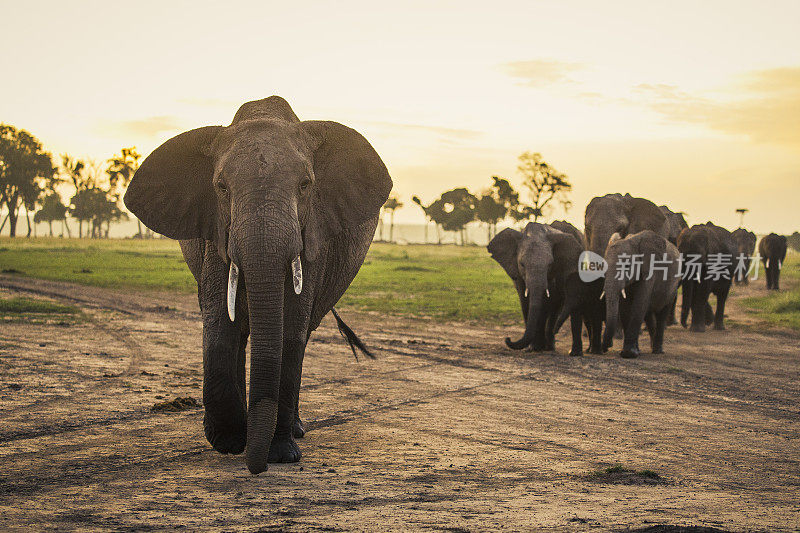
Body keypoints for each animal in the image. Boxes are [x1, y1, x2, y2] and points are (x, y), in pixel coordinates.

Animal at [122, 96, 394, 474]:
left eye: (305, 185)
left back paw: (294, 429)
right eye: (221, 187)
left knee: (301, 335)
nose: (257, 466)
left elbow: (290, 328)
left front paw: (281, 454)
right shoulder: (216, 231)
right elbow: (220, 321)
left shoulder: (314, 234)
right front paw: (230, 442)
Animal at [484, 222, 584, 356]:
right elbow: (525, 301)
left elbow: (545, 304)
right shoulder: (518, 275)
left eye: (550, 265)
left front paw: (536, 348)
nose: (507, 338)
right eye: (522, 264)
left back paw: (557, 349)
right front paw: (532, 348)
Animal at [600, 230, 680, 358]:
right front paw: (632, 352)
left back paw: (658, 351)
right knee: (649, 314)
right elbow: (625, 308)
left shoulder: (650, 271)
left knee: (662, 314)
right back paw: (652, 348)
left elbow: (639, 304)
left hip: (673, 287)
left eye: (627, 266)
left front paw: (629, 354)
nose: (605, 348)